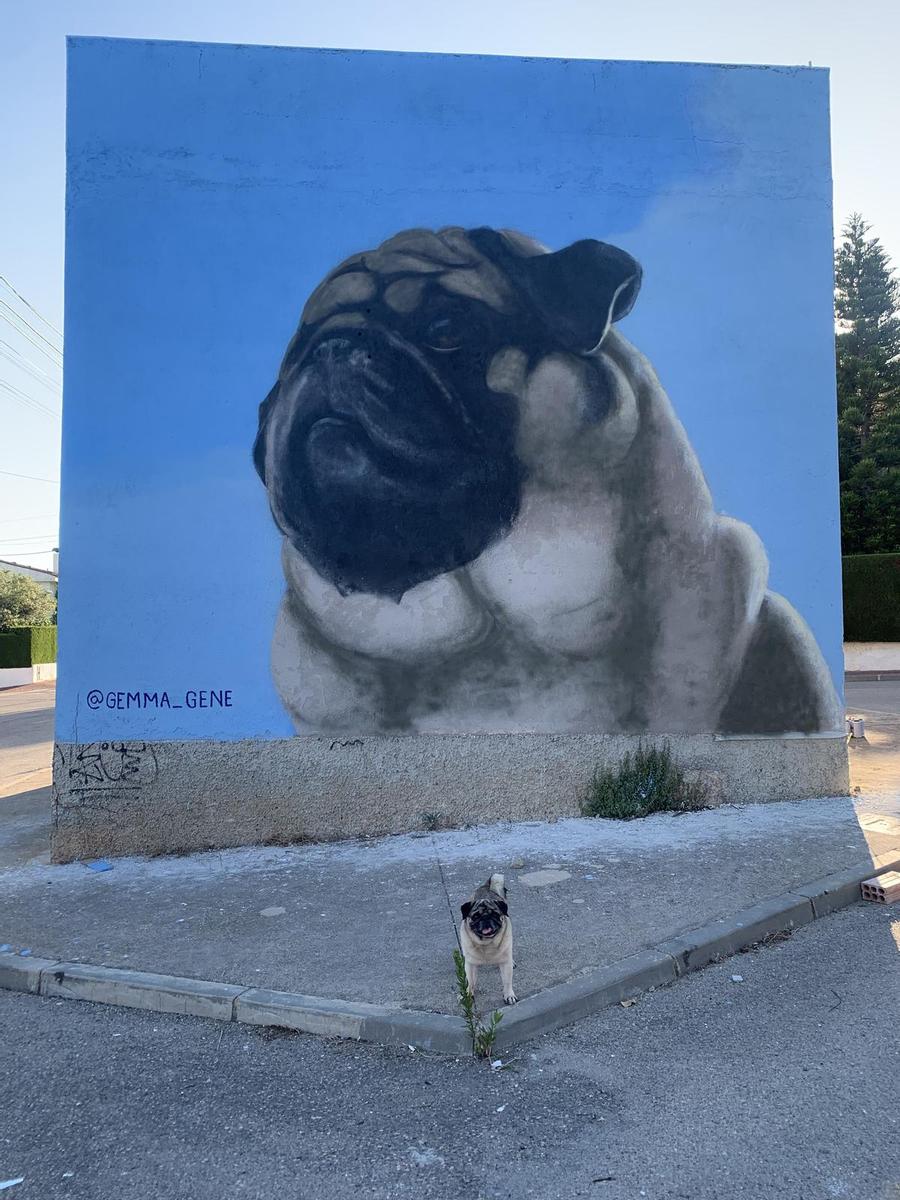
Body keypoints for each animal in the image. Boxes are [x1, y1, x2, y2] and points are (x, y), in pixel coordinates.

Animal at [460, 873, 518, 1003]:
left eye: (495, 914)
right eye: (476, 916)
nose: (486, 918)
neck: (486, 943)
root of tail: (486, 886)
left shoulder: (505, 964)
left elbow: (507, 981)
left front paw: (509, 995)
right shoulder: (470, 965)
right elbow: (470, 981)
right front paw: (468, 994)